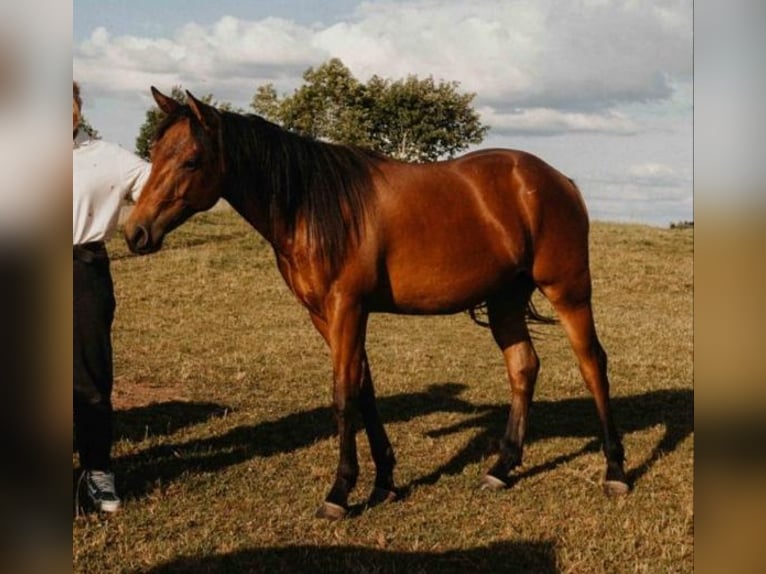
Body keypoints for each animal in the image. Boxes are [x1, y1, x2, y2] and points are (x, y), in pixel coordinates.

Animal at [124, 87, 628, 519]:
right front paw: (384, 479)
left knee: (592, 363)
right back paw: (501, 469)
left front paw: (339, 492)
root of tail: (558, 180)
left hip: (568, 291)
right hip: (505, 299)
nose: (135, 233)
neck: (313, 205)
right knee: (523, 366)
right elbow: (364, 387)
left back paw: (615, 470)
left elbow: (343, 394)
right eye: (154, 154)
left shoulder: (347, 307)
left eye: (191, 160)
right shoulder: (324, 315)